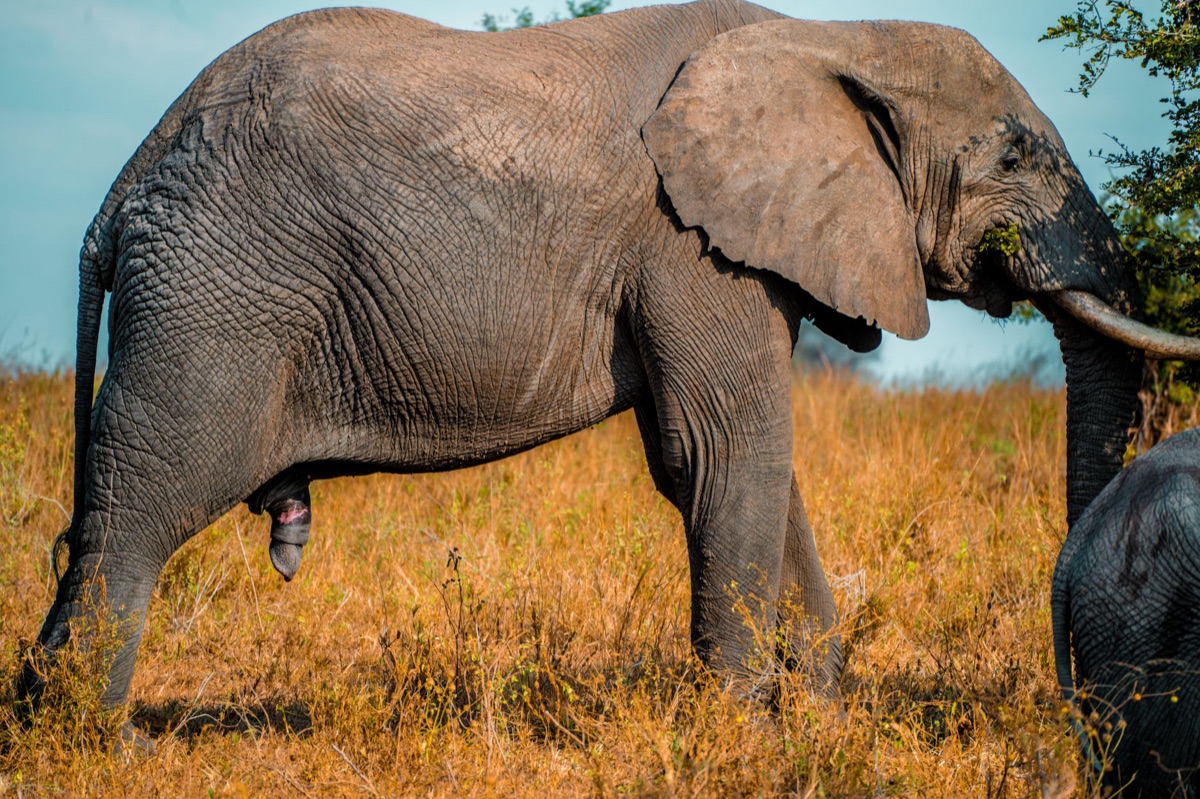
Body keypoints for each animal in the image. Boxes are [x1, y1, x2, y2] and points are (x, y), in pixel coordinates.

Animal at [21, 0, 1200, 714]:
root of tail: (124, 181)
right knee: (139, 515)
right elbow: (720, 454)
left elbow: (741, 465)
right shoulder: (688, 245)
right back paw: (86, 743)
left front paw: (818, 710)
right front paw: (745, 728)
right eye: (1016, 155)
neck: (826, 37)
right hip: (215, 302)